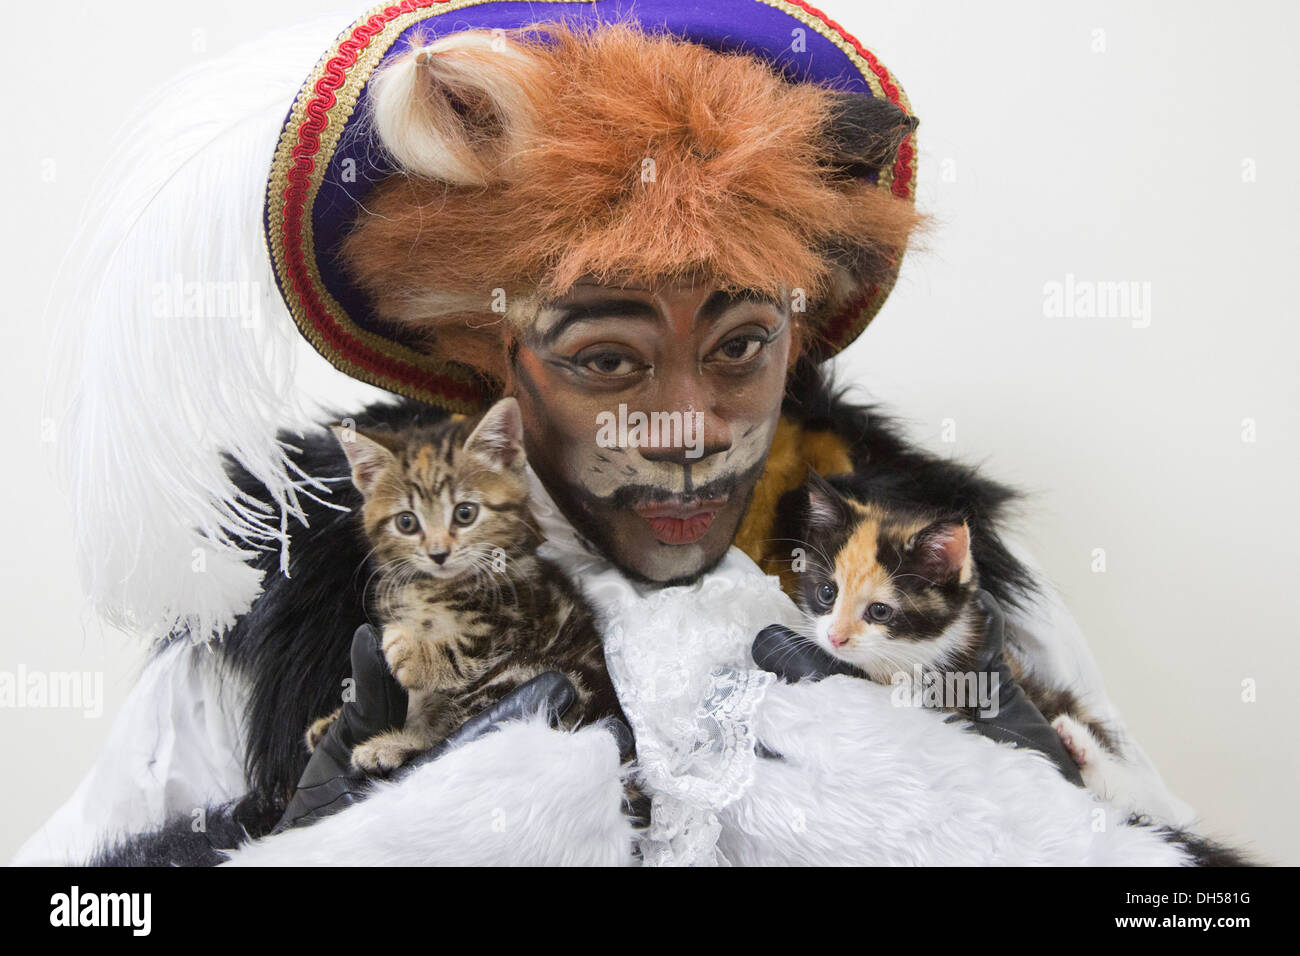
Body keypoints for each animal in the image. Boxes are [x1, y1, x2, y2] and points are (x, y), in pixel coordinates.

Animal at [309, 395, 624, 780]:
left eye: (464, 513)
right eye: (406, 522)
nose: (438, 553)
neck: (433, 588)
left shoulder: (515, 622)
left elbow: (466, 651)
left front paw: (412, 653)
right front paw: (334, 720)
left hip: (533, 677)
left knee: (458, 738)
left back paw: (390, 747)